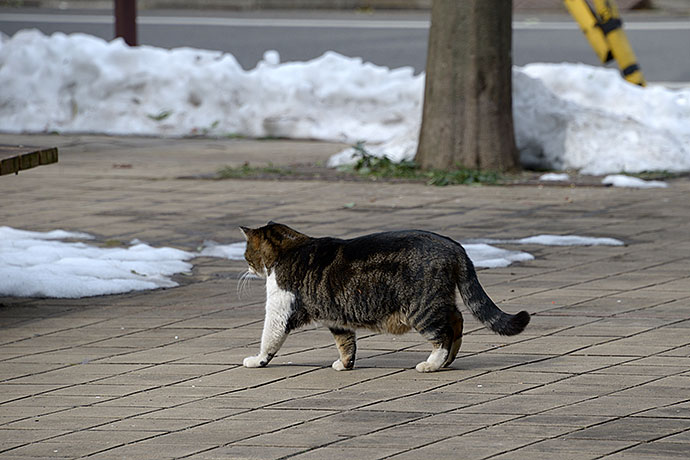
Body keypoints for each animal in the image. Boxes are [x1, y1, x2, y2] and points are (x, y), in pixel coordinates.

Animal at [238, 223, 528, 374]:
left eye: (246, 254)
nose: (247, 267)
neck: (289, 249)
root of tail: (455, 246)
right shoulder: (336, 318)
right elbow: (346, 344)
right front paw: (345, 364)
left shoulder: (279, 311)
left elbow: (269, 339)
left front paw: (257, 360)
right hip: (439, 300)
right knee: (457, 320)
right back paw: (448, 360)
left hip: (422, 308)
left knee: (444, 333)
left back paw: (432, 363)